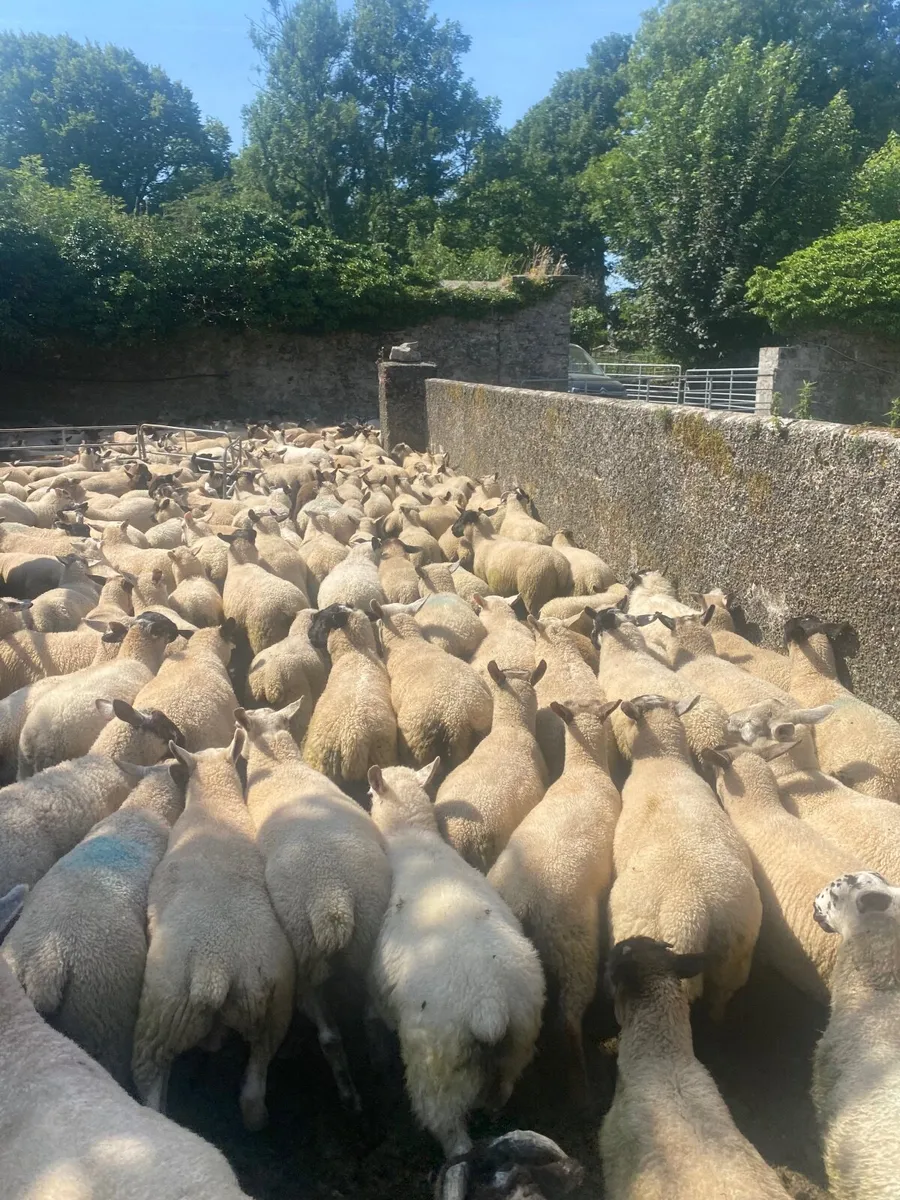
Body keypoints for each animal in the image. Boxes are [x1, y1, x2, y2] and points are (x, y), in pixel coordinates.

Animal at [132, 733, 294, 1130]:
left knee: (150, 1080)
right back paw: (255, 1117)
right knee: (254, 1089)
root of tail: (217, 970)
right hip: (275, 1009)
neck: (216, 802)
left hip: (162, 1012)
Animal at [238, 703, 392, 1109]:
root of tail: (333, 902)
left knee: (328, 1035)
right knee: (369, 1016)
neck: (280, 766)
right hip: (367, 938)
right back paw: (375, 1068)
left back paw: (349, 1095)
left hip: (303, 954)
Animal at [367, 762, 545, 1200]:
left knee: (456, 1145)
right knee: (500, 1099)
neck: (411, 838)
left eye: (369, 793)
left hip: (437, 1075)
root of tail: (489, 1006)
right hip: (516, 1047)